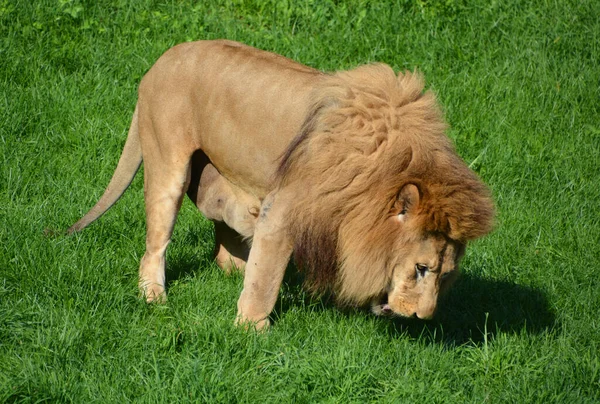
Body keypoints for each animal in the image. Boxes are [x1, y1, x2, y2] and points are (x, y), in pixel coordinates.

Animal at [68, 38, 494, 328]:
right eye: (421, 268)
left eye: (446, 274)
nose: (423, 318)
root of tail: (163, 58)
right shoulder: (284, 210)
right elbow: (266, 278)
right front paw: (252, 330)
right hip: (168, 164)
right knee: (155, 244)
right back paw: (155, 297)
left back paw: (231, 269)